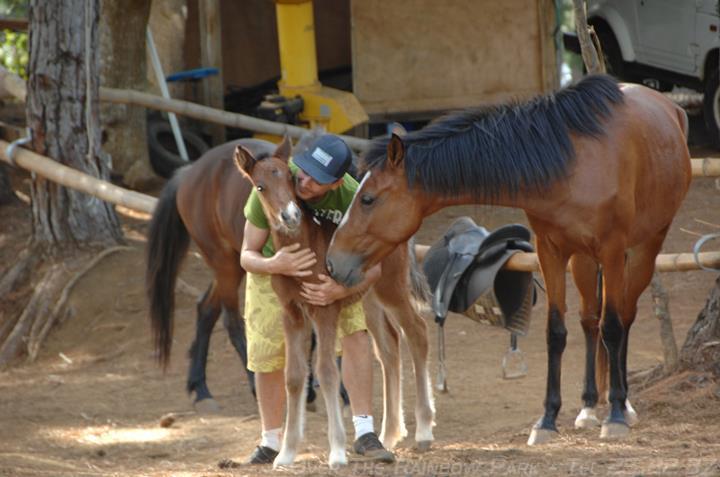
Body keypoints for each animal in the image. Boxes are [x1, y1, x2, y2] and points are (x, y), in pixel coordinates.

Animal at [328, 74, 692, 442]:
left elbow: (614, 327)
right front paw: (547, 419)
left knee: (623, 317)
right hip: (583, 261)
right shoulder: (551, 251)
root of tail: (670, 108)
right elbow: (556, 331)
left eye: (368, 199)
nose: (332, 260)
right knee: (590, 321)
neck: (572, 162)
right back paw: (589, 406)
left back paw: (623, 405)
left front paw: (616, 414)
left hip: (644, 250)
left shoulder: (613, 250)